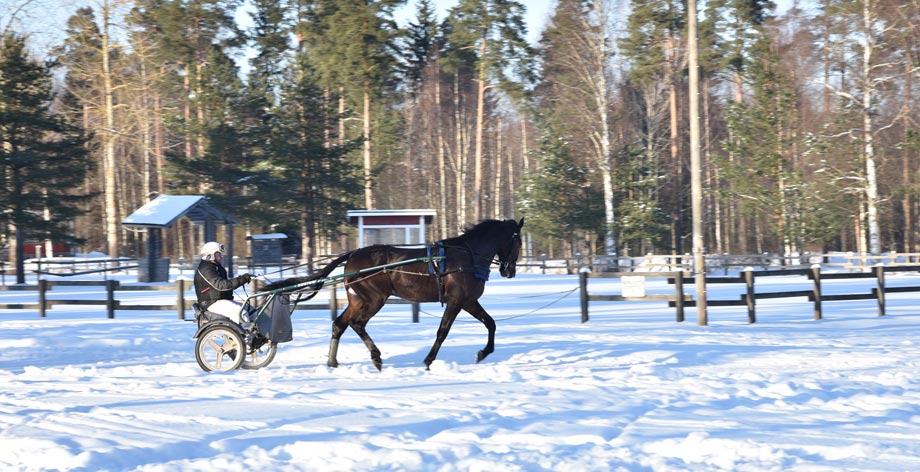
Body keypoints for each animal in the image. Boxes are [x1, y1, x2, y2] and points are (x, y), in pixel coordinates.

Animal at [266, 218, 524, 368]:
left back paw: (333, 361)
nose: (509, 270)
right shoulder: (457, 300)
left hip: (357, 300)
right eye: (519, 241)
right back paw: (376, 357)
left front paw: (484, 352)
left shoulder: (468, 301)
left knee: (340, 324)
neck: (467, 256)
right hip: (374, 299)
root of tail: (353, 255)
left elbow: (491, 323)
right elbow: (443, 331)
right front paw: (428, 360)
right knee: (357, 324)